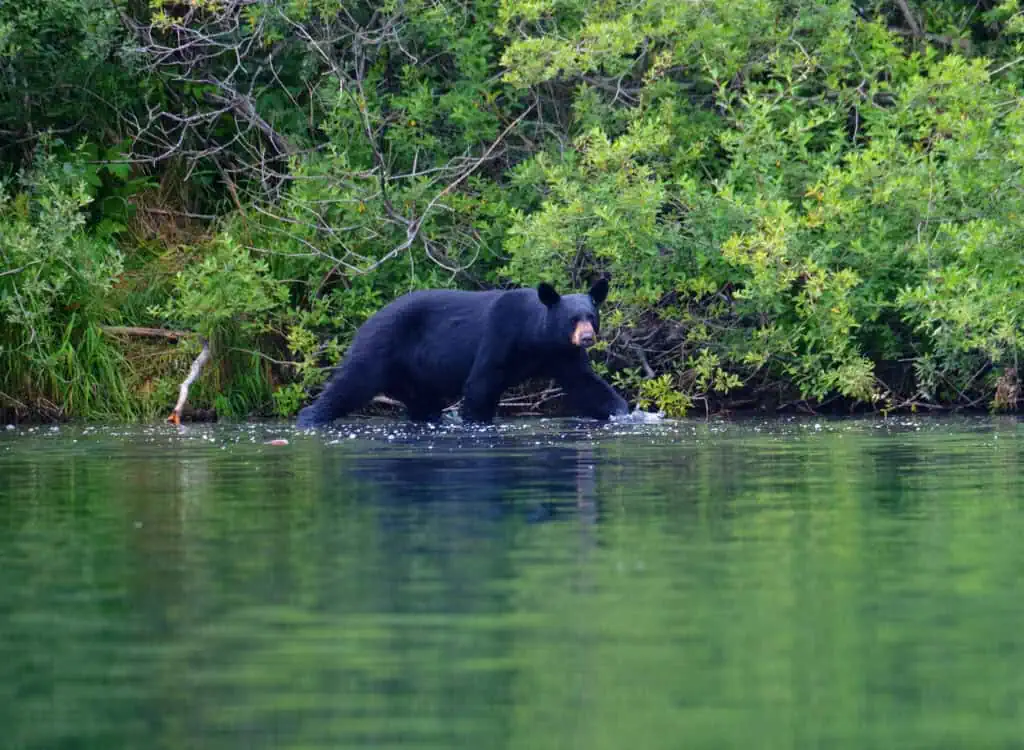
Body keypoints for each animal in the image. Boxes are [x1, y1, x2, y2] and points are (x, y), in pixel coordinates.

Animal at [296, 277, 629, 427]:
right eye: (572, 319)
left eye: (591, 316)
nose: (586, 337)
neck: (534, 337)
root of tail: (368, 319)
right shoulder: (499, 337)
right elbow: (481, 383)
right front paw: (477, 420)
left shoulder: (560, 354)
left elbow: (586, 383)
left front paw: (623, 412)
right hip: (381, 346)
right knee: (353, 381)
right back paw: (310, 417)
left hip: (416, 375)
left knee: (422, 402)